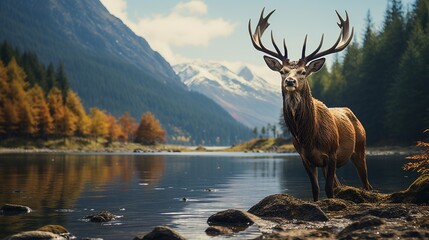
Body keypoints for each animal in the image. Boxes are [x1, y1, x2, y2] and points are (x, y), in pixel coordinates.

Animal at [247, 8, 372, 202]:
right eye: (282, 71)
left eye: (303, 72)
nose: (290, 81)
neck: (308, 136)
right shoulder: (305, 158)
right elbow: (315, 189)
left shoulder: (332, 153)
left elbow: (328, 189)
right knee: (340, 184)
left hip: (360, 147)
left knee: (366, 183)